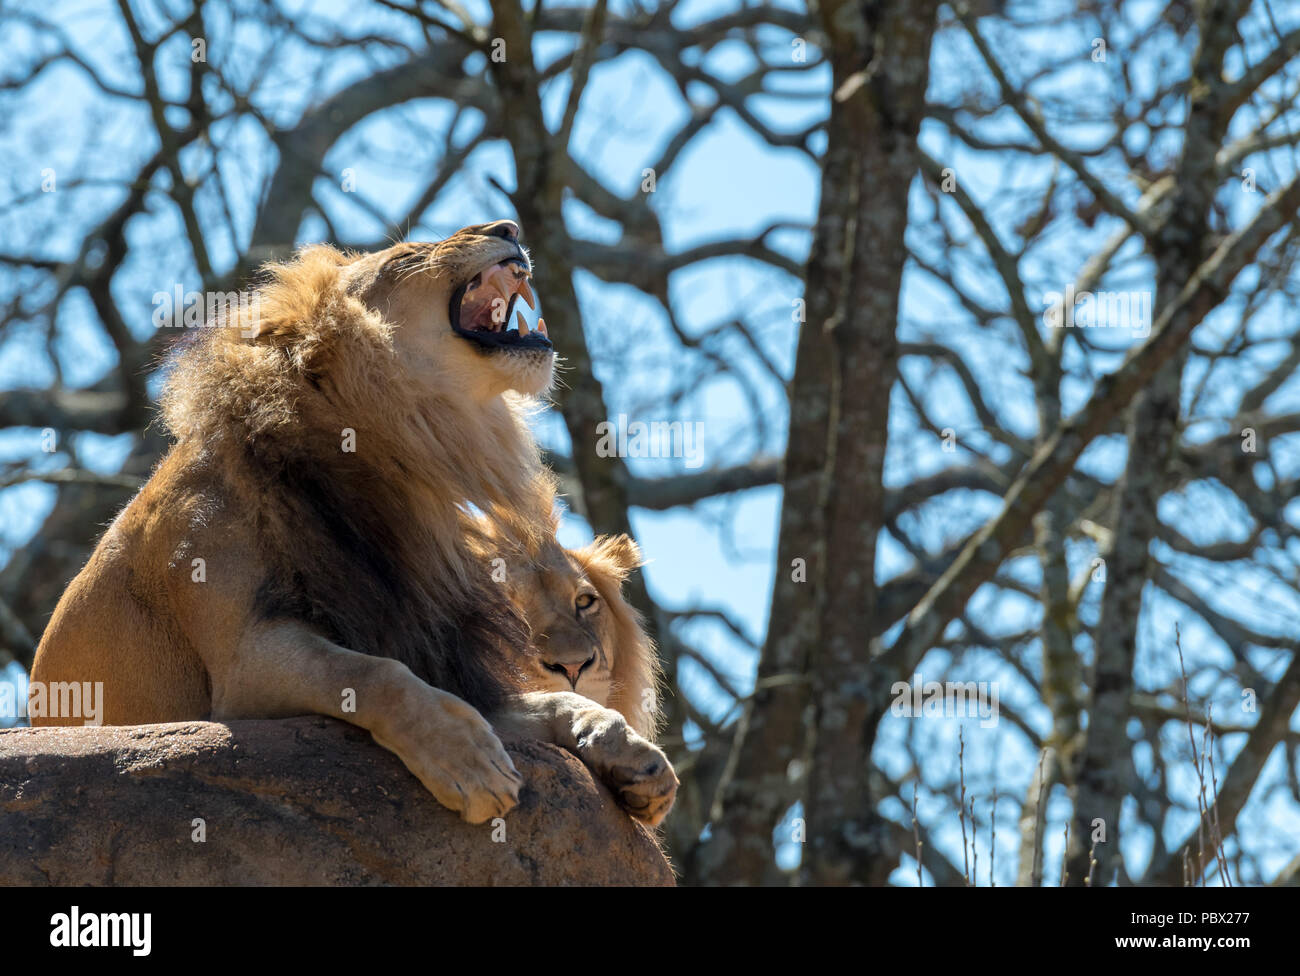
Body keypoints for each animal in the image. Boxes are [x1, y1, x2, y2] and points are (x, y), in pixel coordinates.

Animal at [30, 219, 677, 827]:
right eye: (407, 255)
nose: (509, 228)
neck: (394, 452)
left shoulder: (436, 649)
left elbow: (551, 703)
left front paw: (629, 751)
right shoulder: (244, 664)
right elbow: (370, 673)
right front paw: (467, 759)